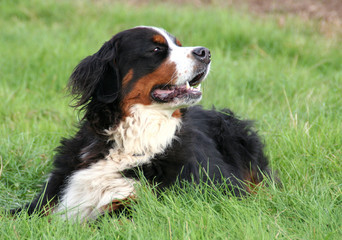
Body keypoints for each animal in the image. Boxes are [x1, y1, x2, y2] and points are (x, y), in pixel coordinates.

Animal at [10, 25, 274, 221]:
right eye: (157, 48)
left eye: (178, 44)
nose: (205, 52)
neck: (133, 136)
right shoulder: (52, 194)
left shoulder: (140, 206)